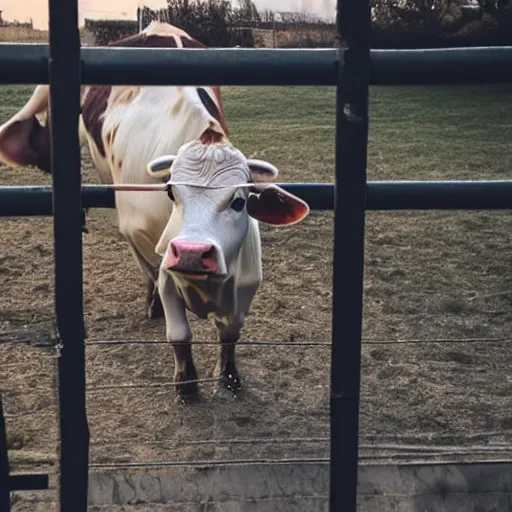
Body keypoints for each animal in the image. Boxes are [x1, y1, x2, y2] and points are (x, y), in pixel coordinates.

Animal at [0, 22, 310, 400]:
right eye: (172, 193)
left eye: (239, 201)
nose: (192, 253)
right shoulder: (156, 250)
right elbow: (178, 329)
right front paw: (186, 382)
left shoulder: (246, 281)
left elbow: (231, 331)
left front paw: (228, 374)